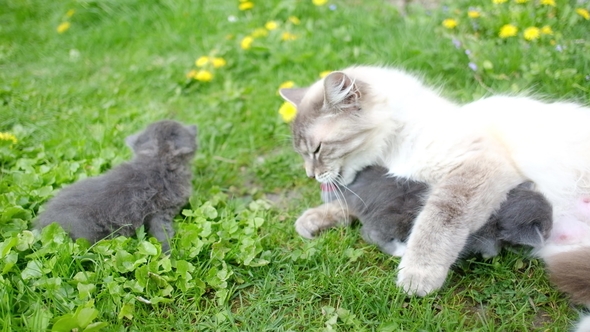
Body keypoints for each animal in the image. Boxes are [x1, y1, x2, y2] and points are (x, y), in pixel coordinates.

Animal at [302, 165, 552, 256]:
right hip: (391, 221)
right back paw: (400, 250)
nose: (552, 232)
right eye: (547, 228)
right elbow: (490, 250)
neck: (498, 212)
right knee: (370, 234)